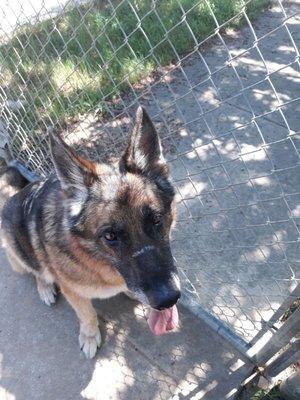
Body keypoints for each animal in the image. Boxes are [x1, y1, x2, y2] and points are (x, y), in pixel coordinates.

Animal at [0, 108, 180, 358]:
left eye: (157, 219)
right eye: (110, 236)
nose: (168, 299)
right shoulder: (72, 291)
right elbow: (87, 314)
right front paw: (90, 335)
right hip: (20, 253)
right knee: (37, 271)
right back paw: (45, 287)